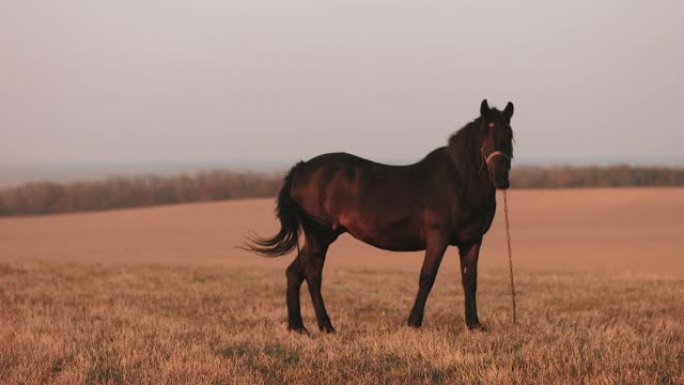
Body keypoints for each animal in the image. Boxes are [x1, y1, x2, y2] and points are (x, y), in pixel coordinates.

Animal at [244, 99, 512, 332]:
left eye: (509, 135)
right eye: (486, 135)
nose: (501, 178)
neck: (458, 181)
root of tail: (301, 169)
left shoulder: (472, 241)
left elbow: (470, 281)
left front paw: (474, 325)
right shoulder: (438, 238)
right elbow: (427, 277)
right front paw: (413, 322)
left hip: (317, 238)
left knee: (294, 273)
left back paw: (298, 327)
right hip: (319, 237)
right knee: (312, 275)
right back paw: (326, 326)